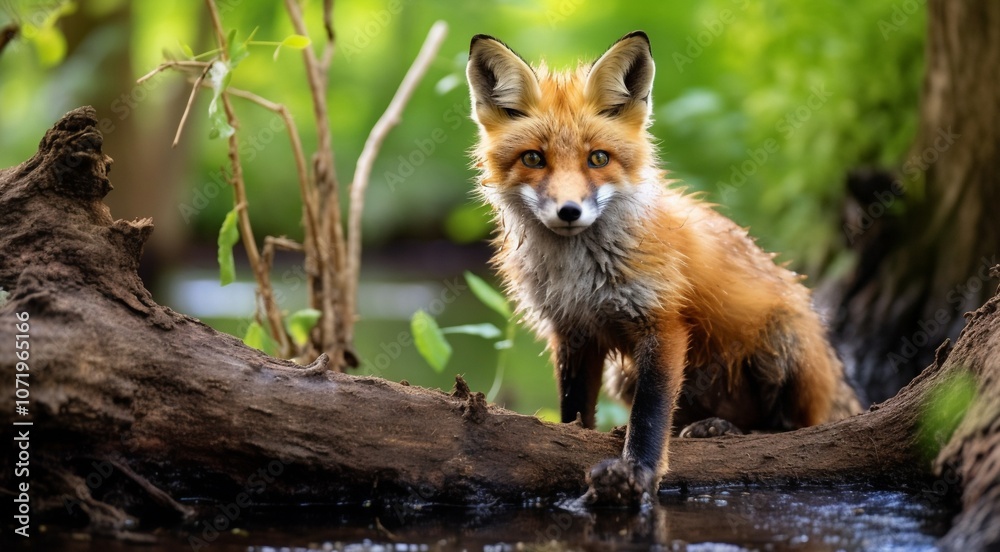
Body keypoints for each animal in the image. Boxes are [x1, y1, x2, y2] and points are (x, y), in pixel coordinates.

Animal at [465, 31, 862, 504]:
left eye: (598, 159)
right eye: (533, 159)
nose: (569, 211)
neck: (579, 274)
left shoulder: (663, 322)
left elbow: (651, 415)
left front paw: (638, 472)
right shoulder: (573, 333)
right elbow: (575, 412)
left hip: (782, 343)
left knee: (792, 428)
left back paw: (731, 430)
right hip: (623, 375)